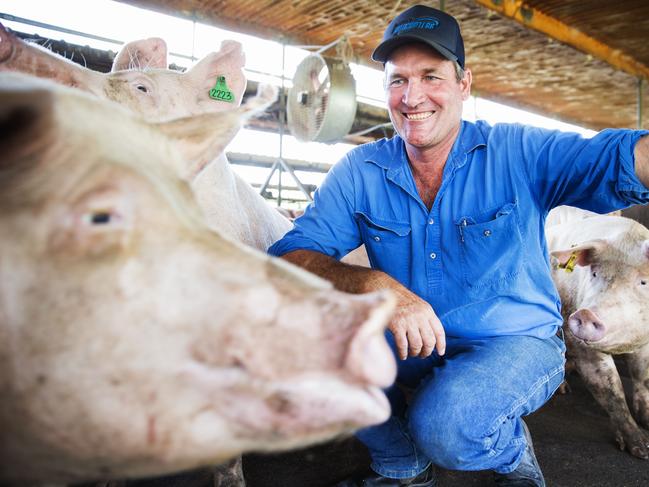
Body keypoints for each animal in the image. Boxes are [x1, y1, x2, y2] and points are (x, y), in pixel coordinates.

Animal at [548, 215, 649, 460]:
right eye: (594, 274)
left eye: (643, 282)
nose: (585, 313)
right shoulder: (581, 345)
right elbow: (611, 388)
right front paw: (642, 450)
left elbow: (642, 375)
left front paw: (648, 421)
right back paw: (564, 389)